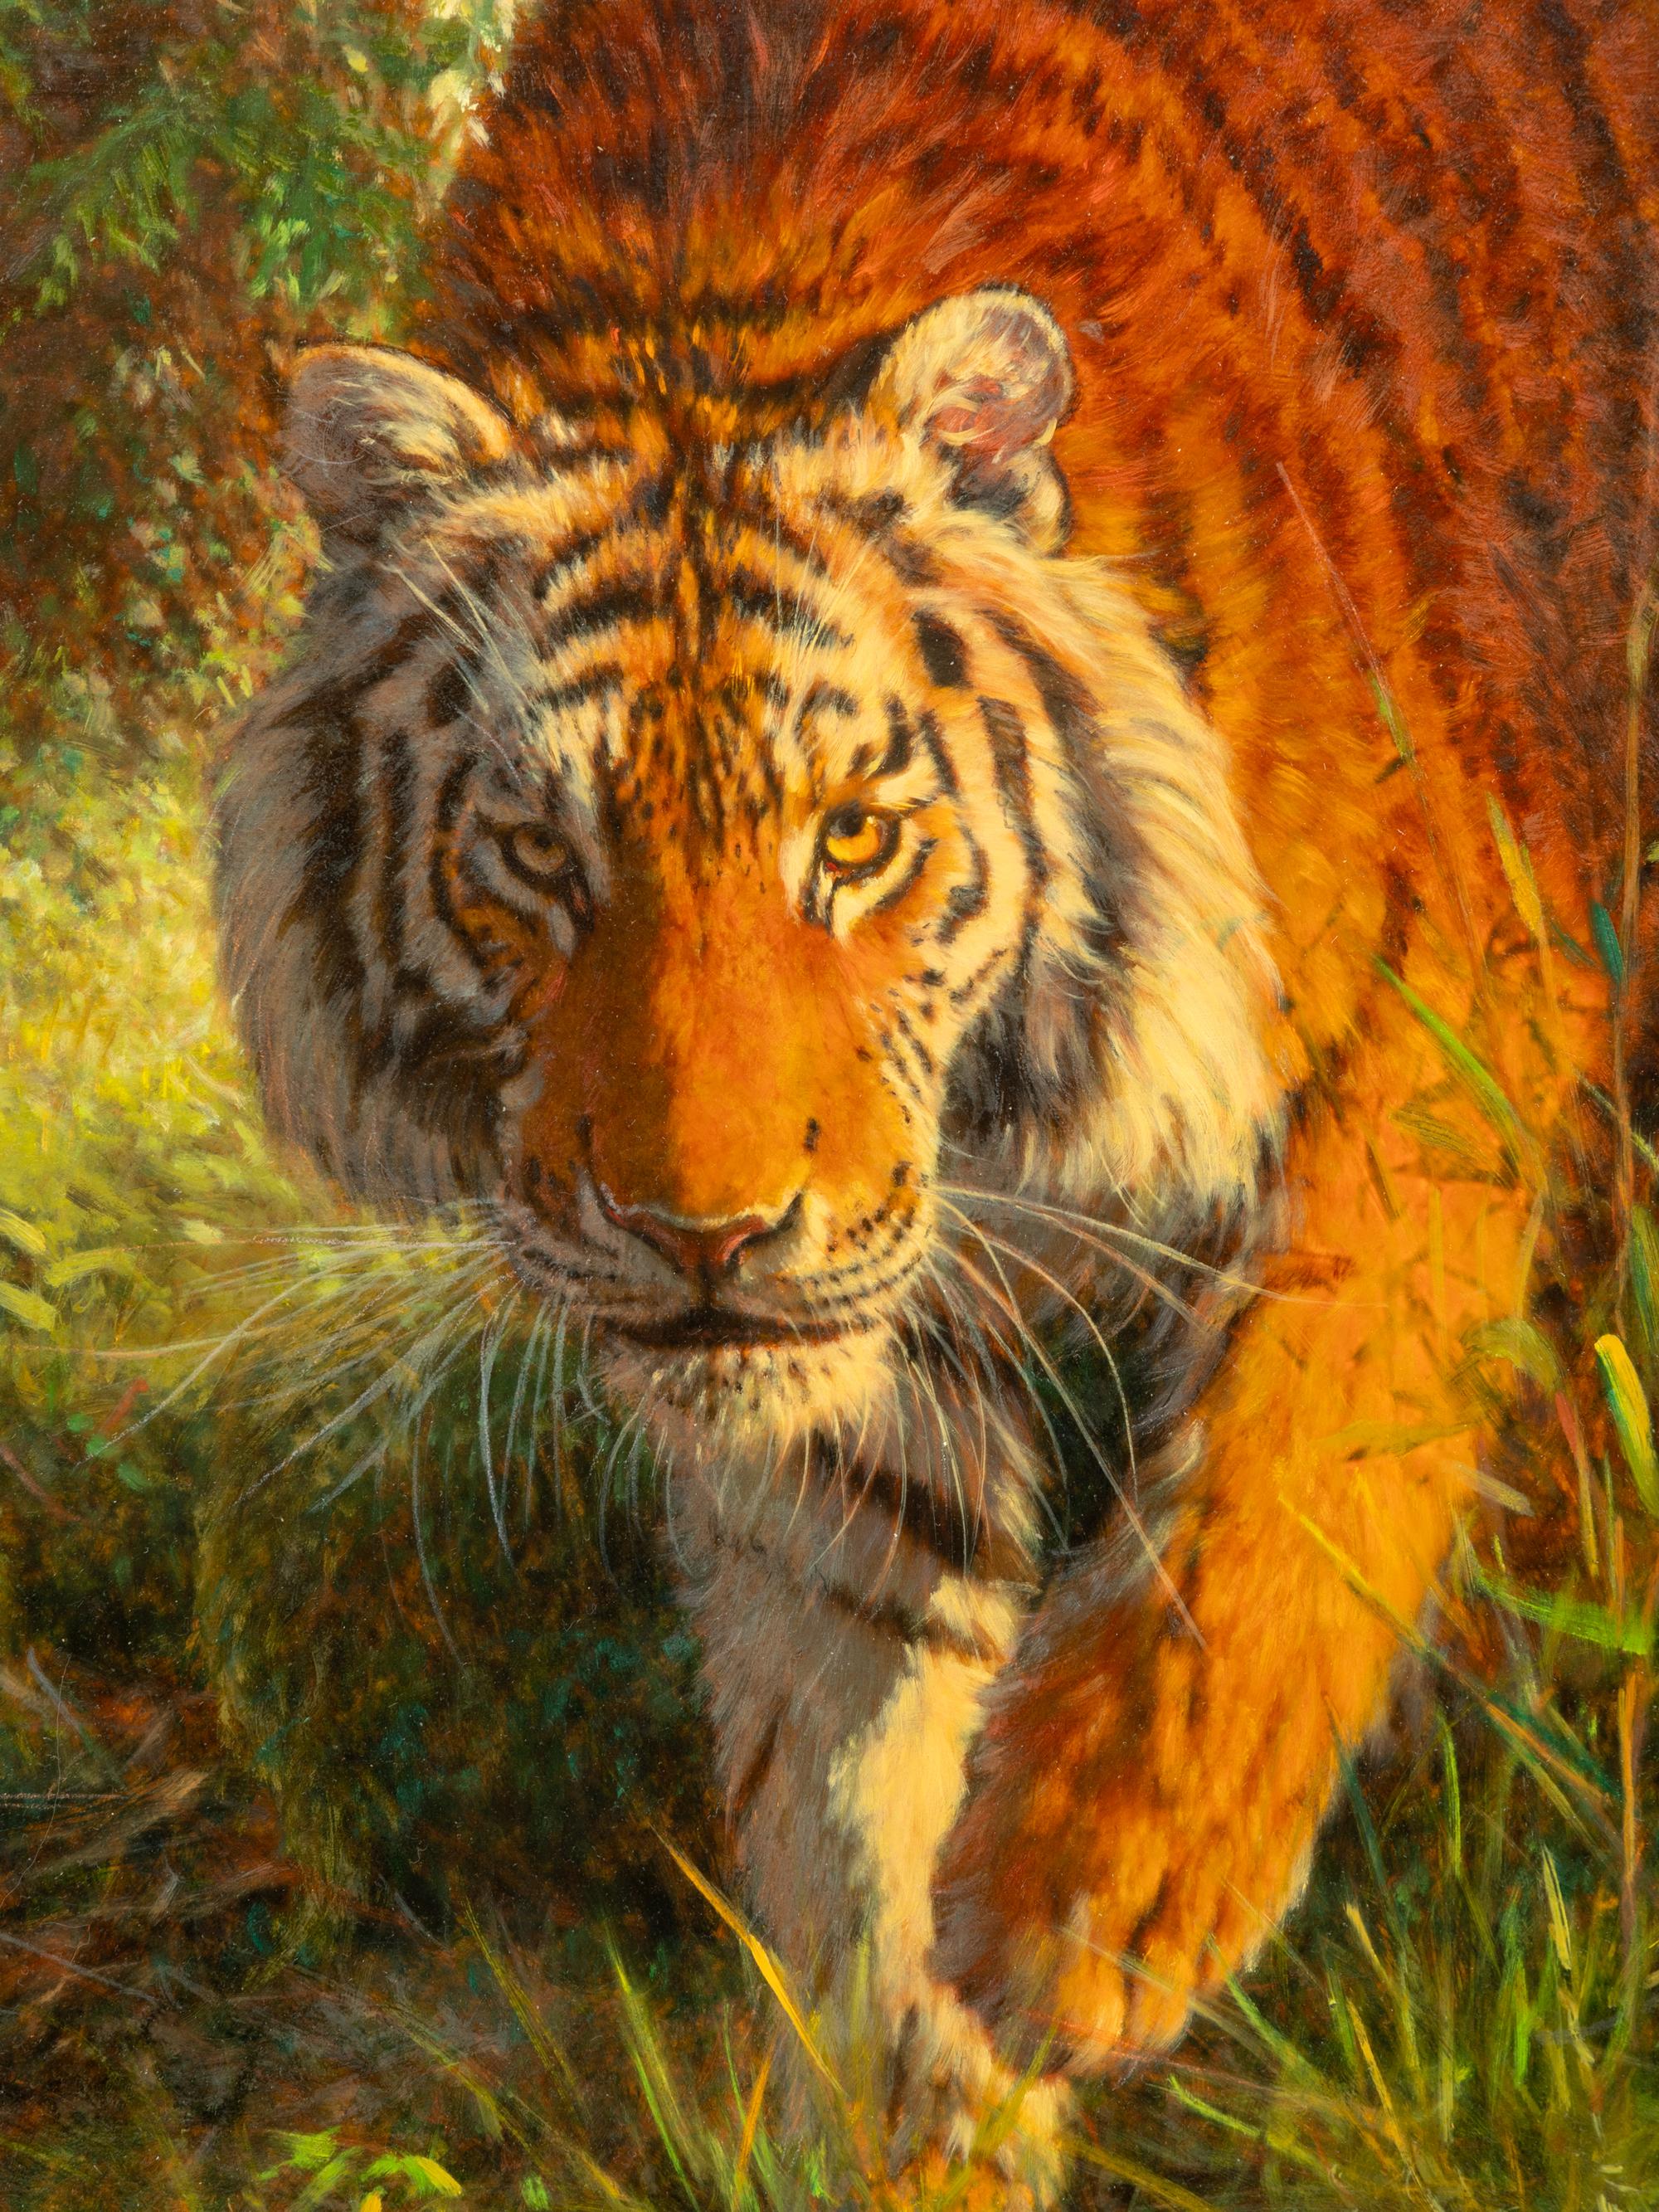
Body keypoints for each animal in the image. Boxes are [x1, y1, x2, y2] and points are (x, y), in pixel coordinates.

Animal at [214, 0, 1659, 2199]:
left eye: (856, 836)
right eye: (538, 856)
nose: (702, 1235)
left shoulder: (1446, 1002)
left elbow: (1294, 1466)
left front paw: (1086, 1907)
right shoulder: (844, 1377)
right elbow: (842, 1761)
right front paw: (923, 2108)